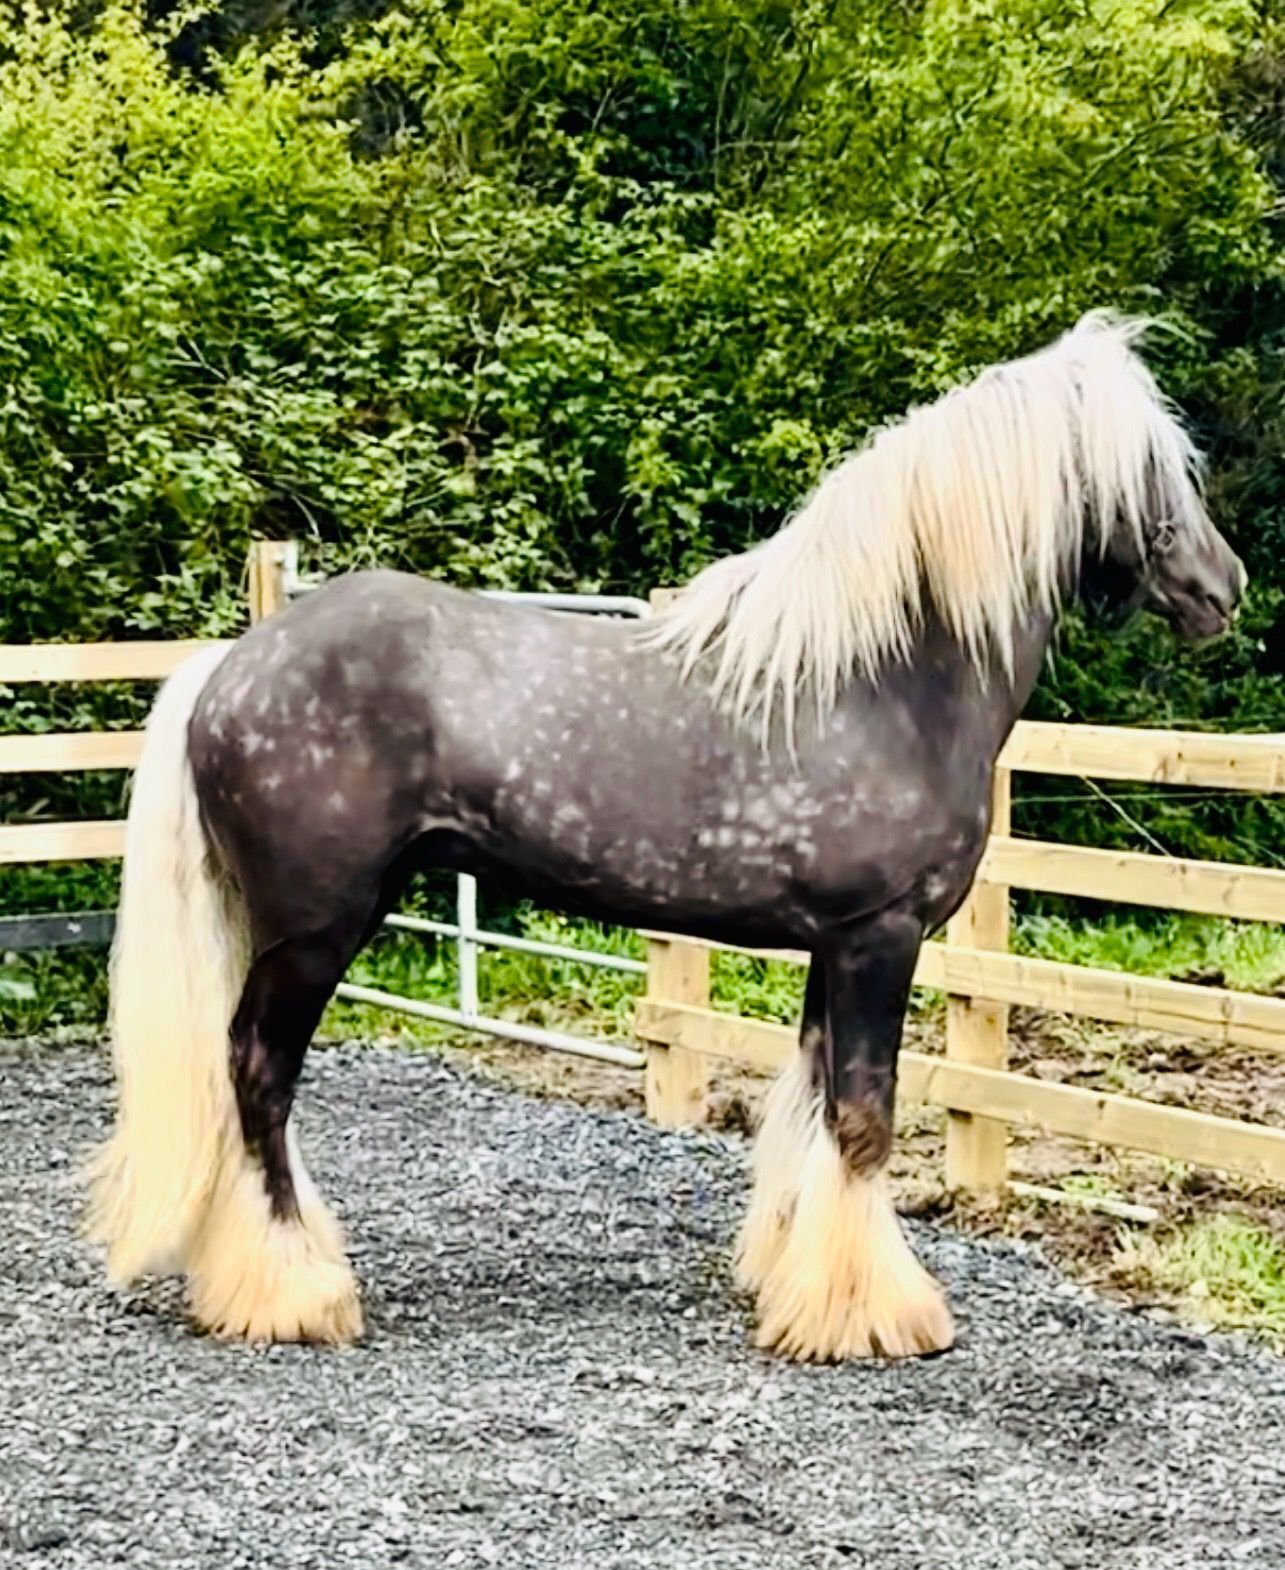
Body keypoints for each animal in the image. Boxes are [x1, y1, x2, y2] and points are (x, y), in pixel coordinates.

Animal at [85, 312, 1244, 1361]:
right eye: (1154, 472)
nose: (1220, 591)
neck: (884, 679)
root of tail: (227, 668)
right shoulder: (880, 937)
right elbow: (865, 1119)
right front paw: (876, 1318)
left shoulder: (832, 946)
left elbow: (812, 1108)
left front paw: (797, 1285)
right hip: (315, 933)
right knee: (258, 1074)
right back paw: (296, 1293)